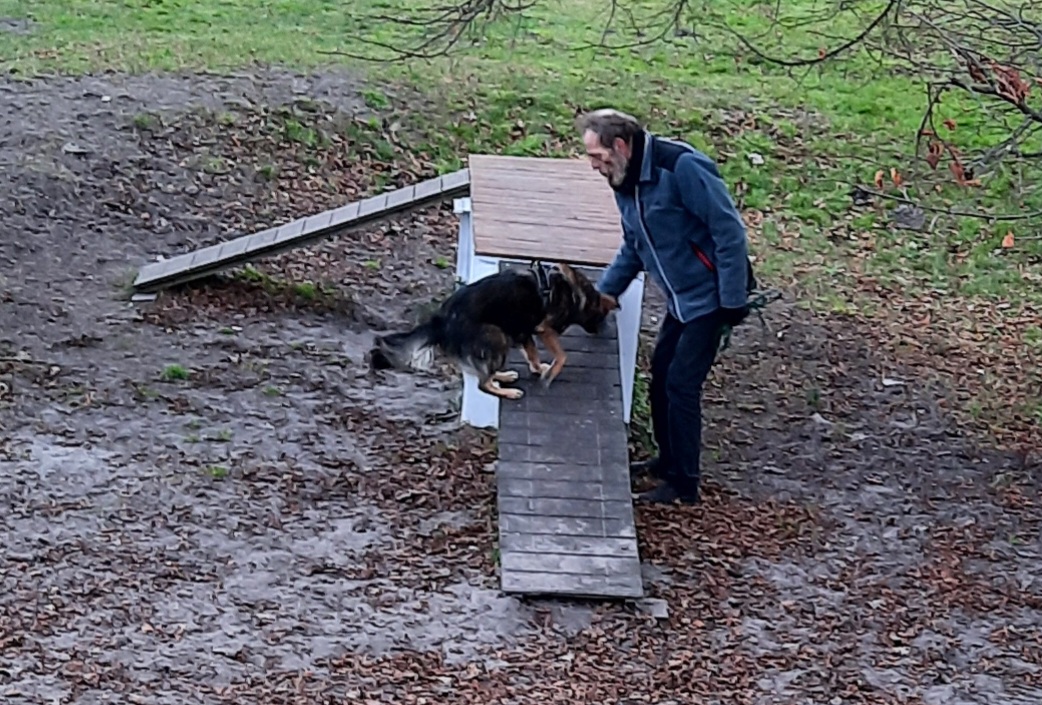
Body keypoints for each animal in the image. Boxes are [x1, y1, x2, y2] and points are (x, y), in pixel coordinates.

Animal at [368, 262, 619, 400]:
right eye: (601, 318)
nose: (599, 331)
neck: (579, 295)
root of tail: (440, 320)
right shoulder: (544, 329)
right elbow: (561, 355)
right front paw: (549, 373)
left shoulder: (524, 330)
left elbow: (533, 354)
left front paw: (538, 368)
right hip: (496, 335)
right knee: (482, 383)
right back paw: (508, 392)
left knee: (480, 372)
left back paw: (503, 375)